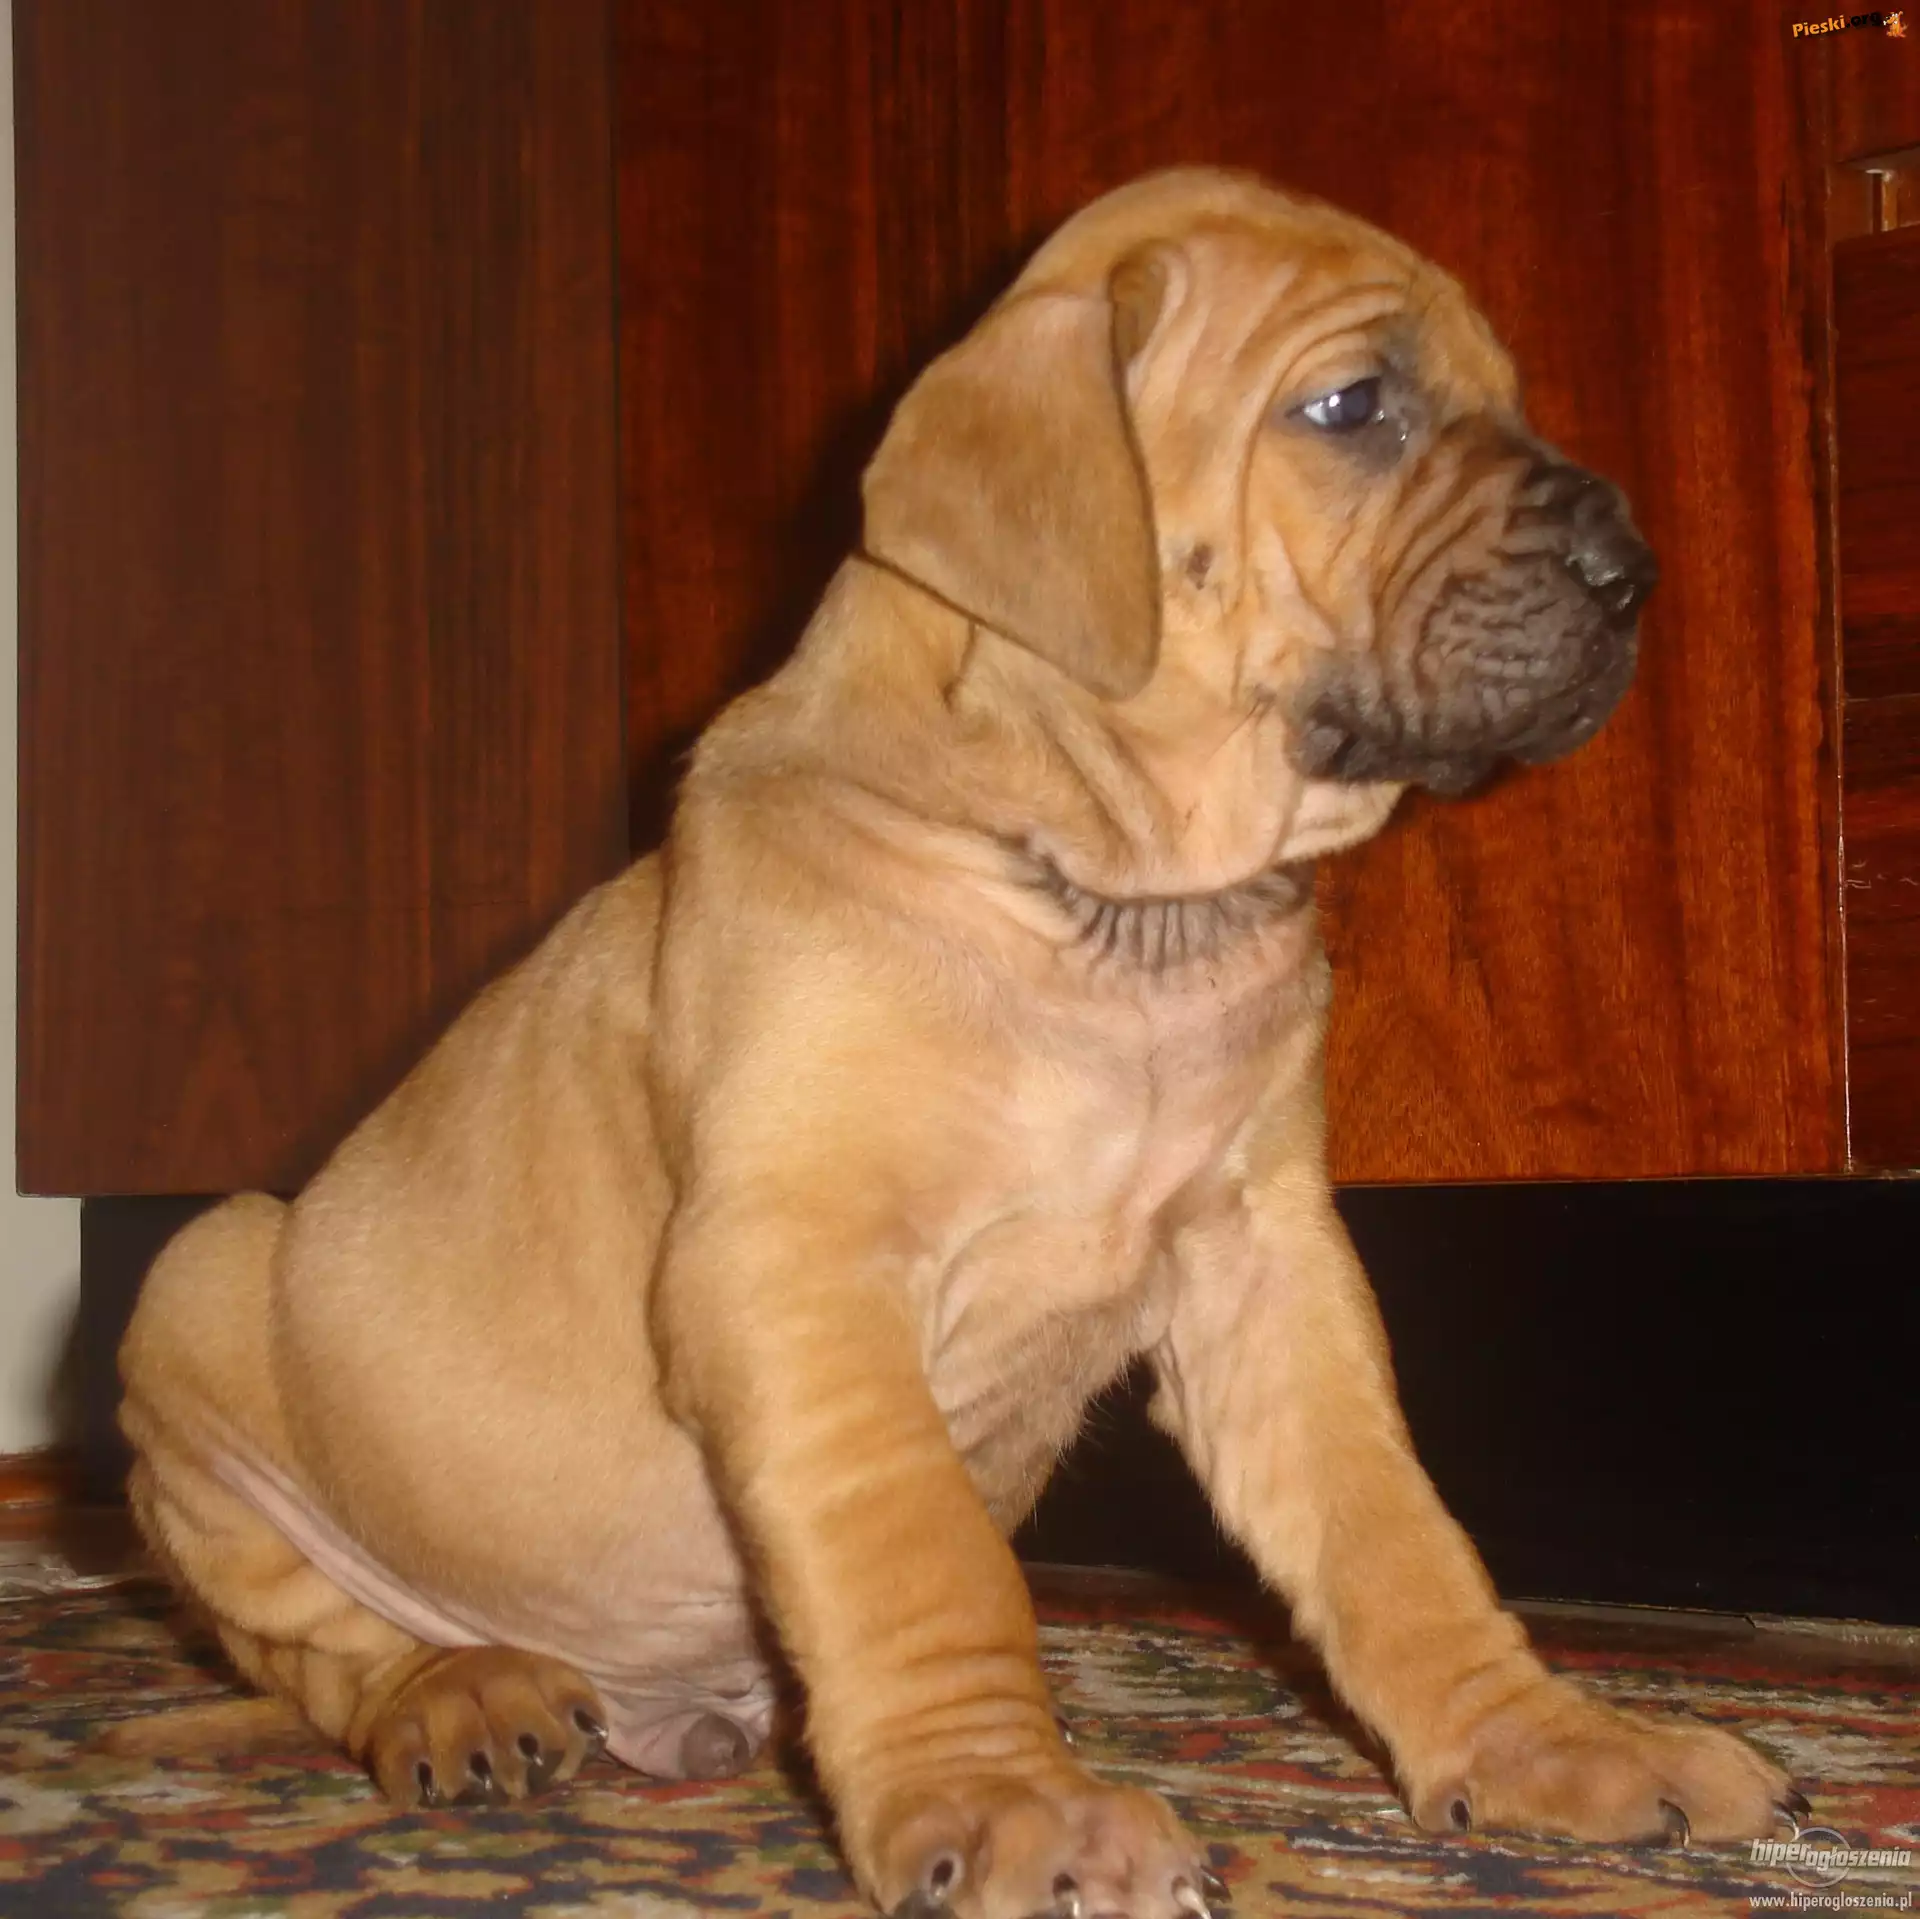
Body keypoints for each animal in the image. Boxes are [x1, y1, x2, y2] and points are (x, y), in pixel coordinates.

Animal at [117, 168, 1798, 1919]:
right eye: (1350, 406)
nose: (1636, 568)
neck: (1115, 903)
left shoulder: (1264, 1260)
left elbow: (1390, 1526)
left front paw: (1541, 1741)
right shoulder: (795, 1262)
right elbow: (919, 1550)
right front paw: (1009, 1801)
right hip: (199, 1294)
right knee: (311, 1637)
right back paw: (459, 1689)